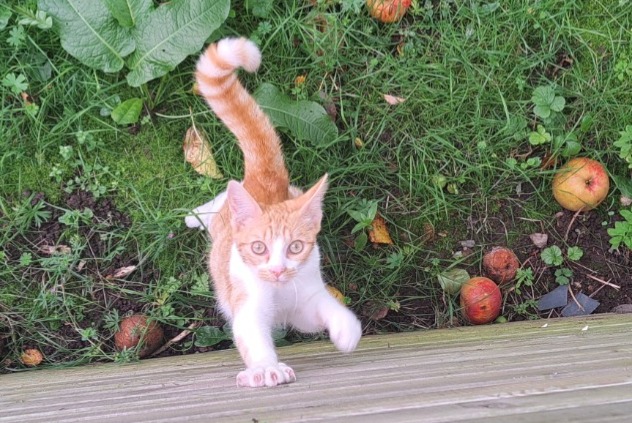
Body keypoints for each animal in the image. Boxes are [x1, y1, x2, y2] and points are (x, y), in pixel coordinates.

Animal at [184, 38, 360, 390]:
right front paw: (267, 368)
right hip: (227, 214)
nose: (278, 270)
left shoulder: (305, 298)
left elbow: (321, 309)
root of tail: (264, 181)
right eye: (258, 248)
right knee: (220, 200)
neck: (279, 291)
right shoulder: (246, 302)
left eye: (295, 247)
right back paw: (194, 215)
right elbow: (252, 334)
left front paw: (346, 328)